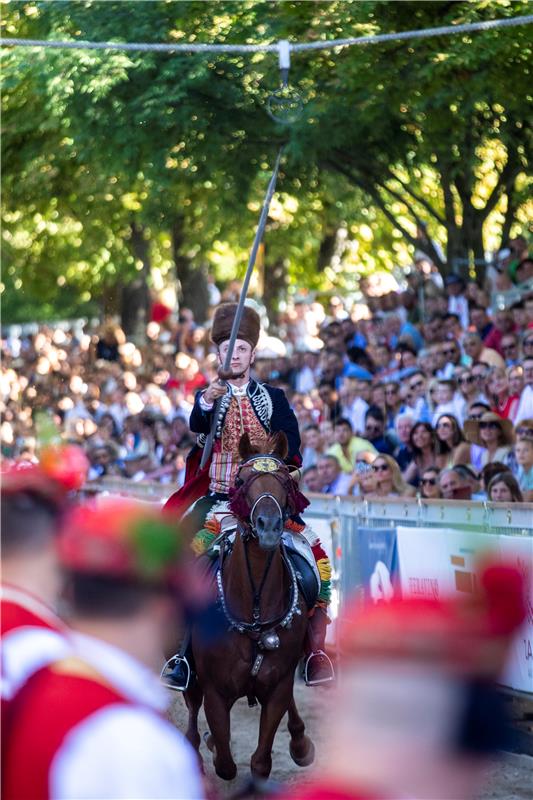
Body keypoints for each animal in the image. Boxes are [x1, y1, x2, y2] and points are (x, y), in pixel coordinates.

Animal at [184, 434, 314, 780]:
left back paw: (300, 742)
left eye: (285, 480)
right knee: (191, 702)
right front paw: (212, 747)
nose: (268, 526)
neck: (254, 610)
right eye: (241, 480)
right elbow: (226, 765)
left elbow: (260, 762)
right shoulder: (215, 691)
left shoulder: (278, 687)